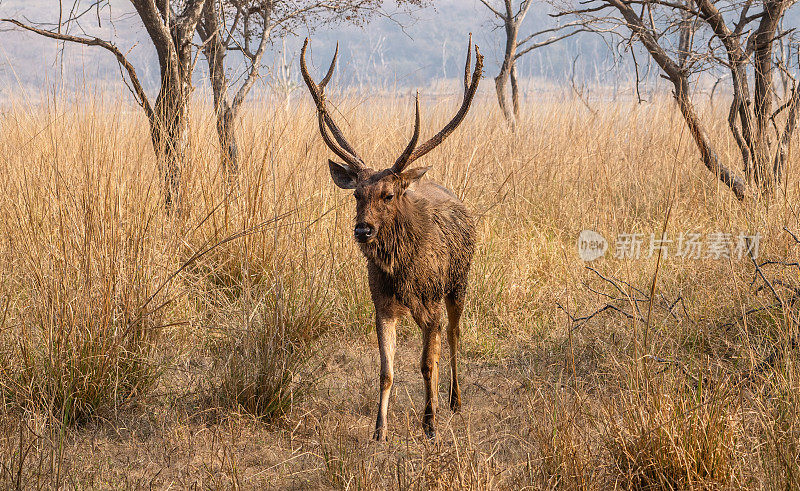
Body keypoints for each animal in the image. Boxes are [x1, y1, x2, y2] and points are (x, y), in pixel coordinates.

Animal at [300, 36, 482, 440]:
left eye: (388, 194)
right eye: (356, 194)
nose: (363, 229)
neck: (403, 275)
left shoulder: (431, 304)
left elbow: (428, 364)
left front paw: (430, 425)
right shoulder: (381, 302)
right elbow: (386, 370)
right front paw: (379, 429)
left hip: (459, 282)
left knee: (455, 336)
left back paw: (455, 401)